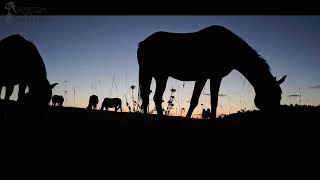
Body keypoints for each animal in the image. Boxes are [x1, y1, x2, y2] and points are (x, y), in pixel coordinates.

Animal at [138, 24, 288, 119]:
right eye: (272, 95)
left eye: (279, 96)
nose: (276, 116)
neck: (229, 47)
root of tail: (143, 42)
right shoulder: (207, 77)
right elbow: (198, 101)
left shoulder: (213, 77)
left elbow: (210, 102)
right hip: (155, 74)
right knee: (152, 97)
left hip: (156, 75)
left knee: (150, 97)